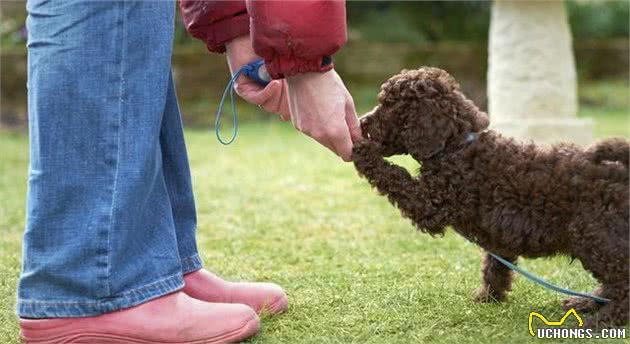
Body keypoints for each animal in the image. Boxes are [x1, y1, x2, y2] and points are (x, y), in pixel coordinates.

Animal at [356, 67, 630, 328]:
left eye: (391, 104)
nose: (362, 122)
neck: (457, 144)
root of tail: (622, 173)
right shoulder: (500, 235)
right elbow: (494, 266)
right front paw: (488, 296)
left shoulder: (431, 203)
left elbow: (395, 176)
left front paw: (362, 150)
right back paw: (585, 302)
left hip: (595, 236)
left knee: (622, 281)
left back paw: (603, 318)